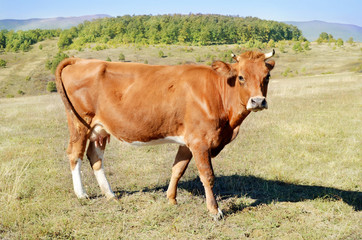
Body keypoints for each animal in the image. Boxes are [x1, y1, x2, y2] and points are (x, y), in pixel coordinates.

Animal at [55, 49, 274, 220]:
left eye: (267, 77)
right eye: (241, 77)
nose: (258, 101)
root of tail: (80, 60)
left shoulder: (187, 142)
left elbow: (177, 169)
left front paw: (171, 199)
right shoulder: (200, 141)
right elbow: (207, 176)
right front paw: (214, 211)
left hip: (99, 129)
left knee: (95, 157)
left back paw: (110, 194)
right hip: (79, 124)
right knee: (75, 155)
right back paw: (81, 194)